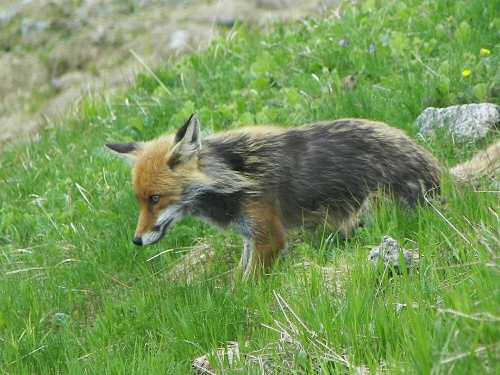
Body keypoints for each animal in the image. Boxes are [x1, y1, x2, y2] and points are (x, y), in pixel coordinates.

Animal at [106, 114, 500, 280]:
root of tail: (440, 172)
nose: (136, 241)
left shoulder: (269, 235)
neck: (235, 174)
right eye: (140, 199)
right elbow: (239, 274)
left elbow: (247, 286)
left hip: (376, 208)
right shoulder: (250, 236)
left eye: (155, 198)